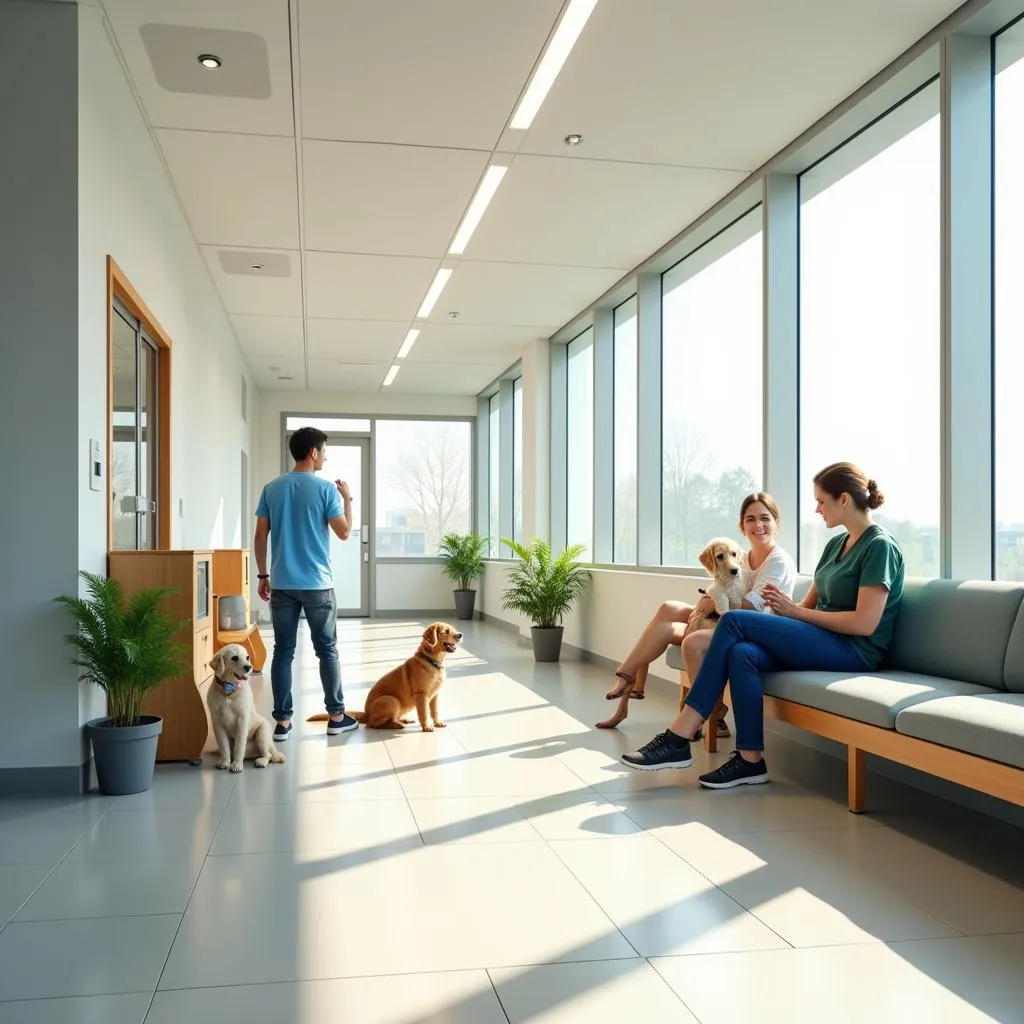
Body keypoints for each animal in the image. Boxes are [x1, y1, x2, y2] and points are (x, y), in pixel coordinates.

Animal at [305, 618, 462, 733]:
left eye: (452, 629)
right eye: (446, 631)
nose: (460, 635)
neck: (431, 660)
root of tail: (366, 714)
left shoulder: (435, 695)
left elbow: (434, 711)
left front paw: (437, 723)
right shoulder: (421, 695)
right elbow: (424, 713)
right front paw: (427, 726)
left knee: (388, 719)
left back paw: (401, 720)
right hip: (392, 700)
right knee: (374, 724)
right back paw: (394, 725)